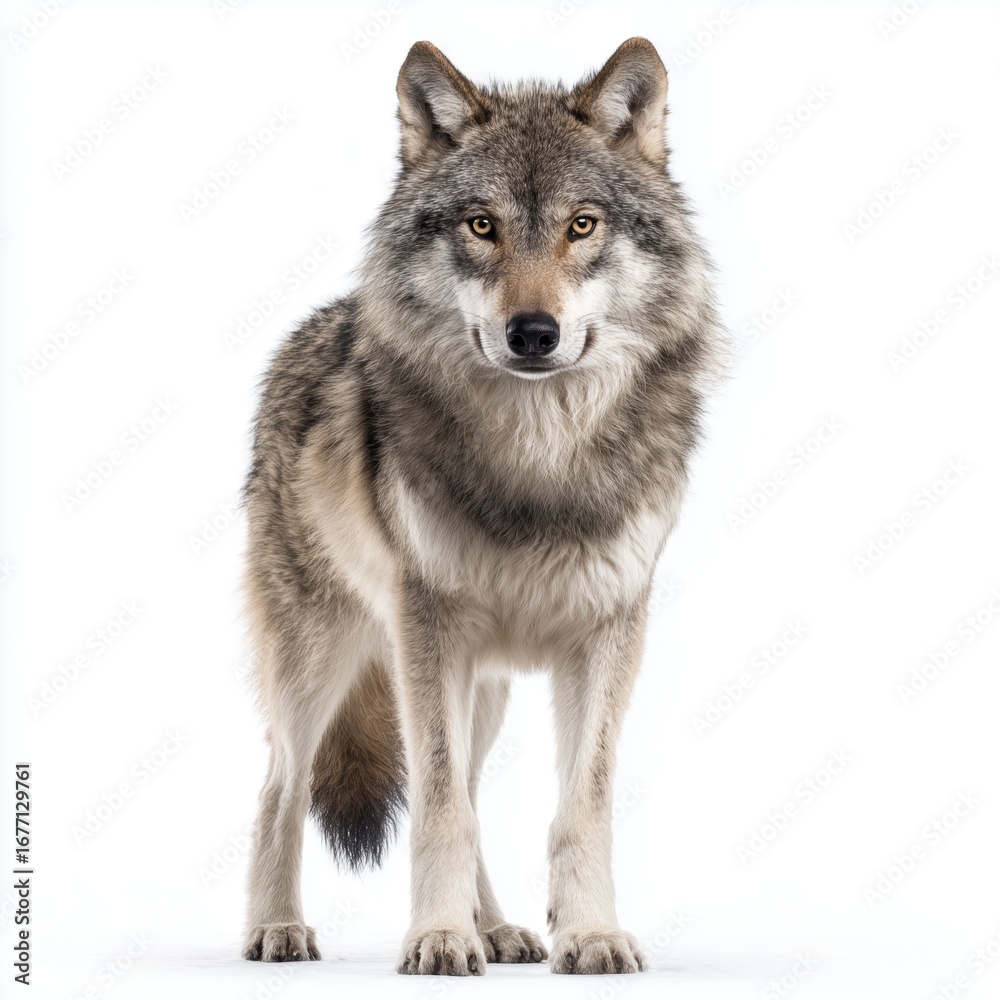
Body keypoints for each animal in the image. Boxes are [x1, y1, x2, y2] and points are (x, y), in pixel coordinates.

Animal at [240, 37, 721, 976]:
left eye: (582, 225)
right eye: (482, 226)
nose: (532, 333)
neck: (539, 459)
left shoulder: (610, 631)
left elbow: (578, 807)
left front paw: (588, 934)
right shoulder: (428, 628)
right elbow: (436, 806)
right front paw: (435, 936)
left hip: (482, 688)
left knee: (464, 785)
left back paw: (496, 929)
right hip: (323, 662)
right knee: (281, 785)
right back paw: (276, 927)